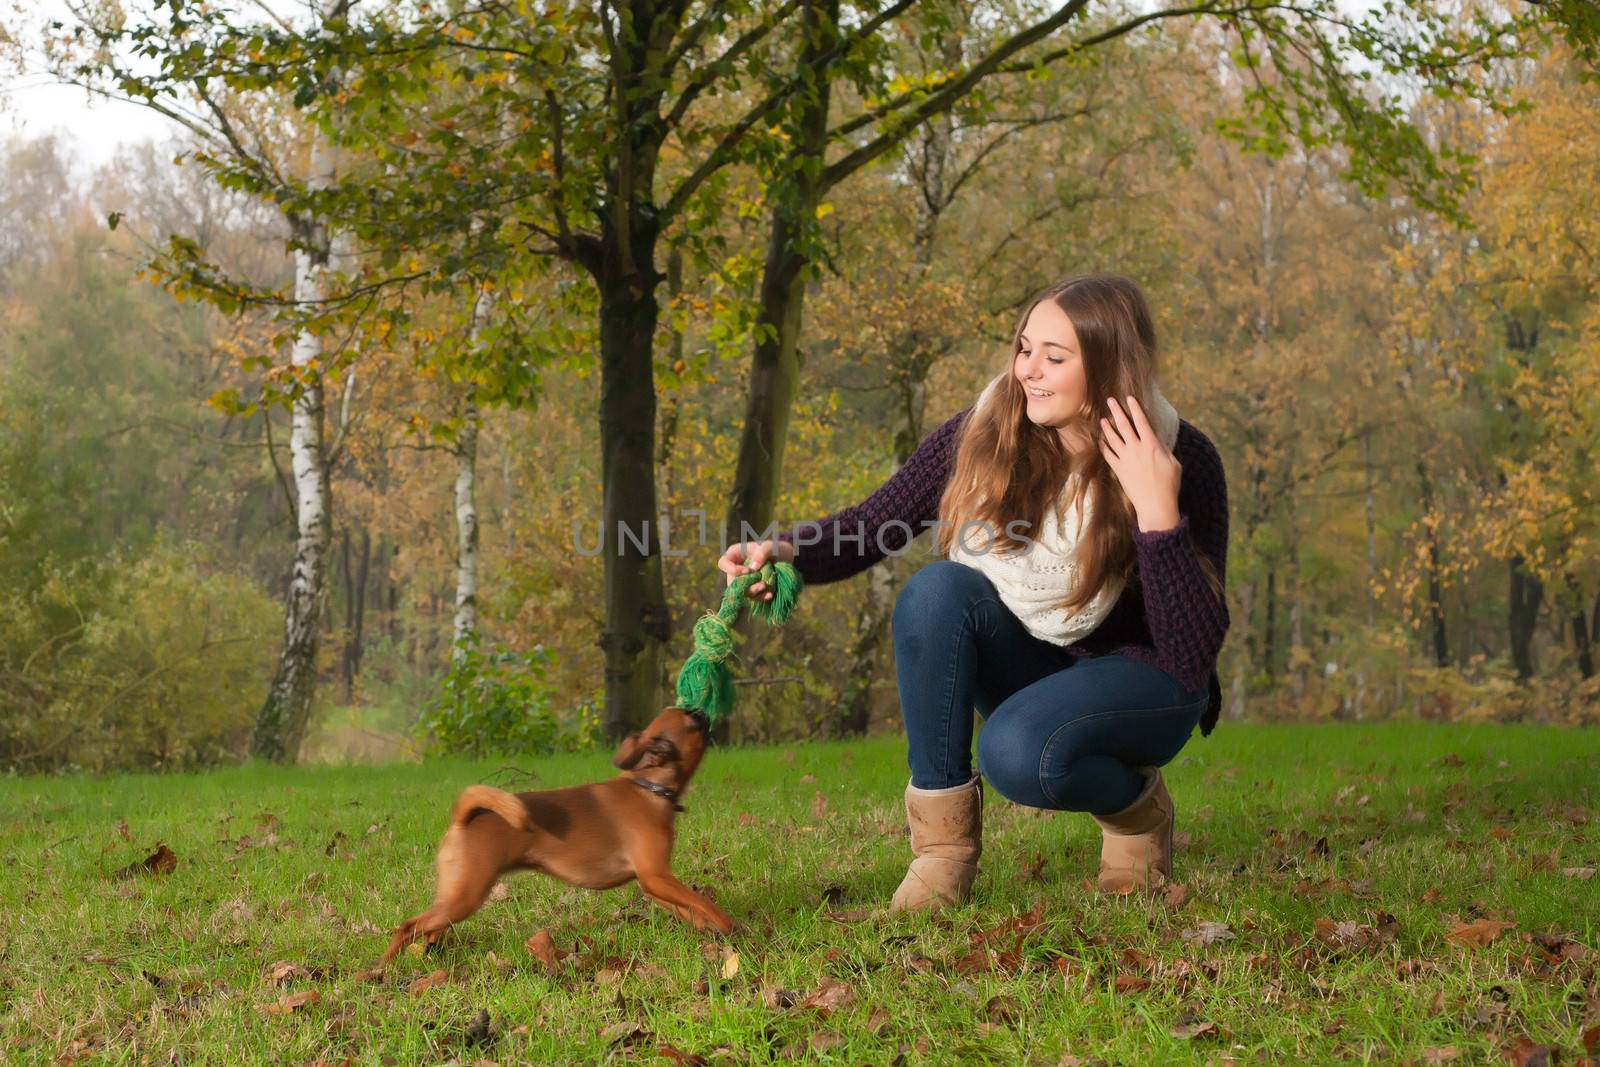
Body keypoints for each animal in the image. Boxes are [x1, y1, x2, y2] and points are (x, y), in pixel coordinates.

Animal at [380, 703, 732, 966]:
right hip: (466, 894)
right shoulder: (656, 875)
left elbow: (691, 908)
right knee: (408, 927)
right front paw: (731, 928)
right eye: (692, 720)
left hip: (454, 896)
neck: (649, 786)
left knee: (429, 928)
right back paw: (381, 969)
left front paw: (708, 930)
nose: (704, 711)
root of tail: (463, 819)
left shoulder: (655, 883)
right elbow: (704, 903)